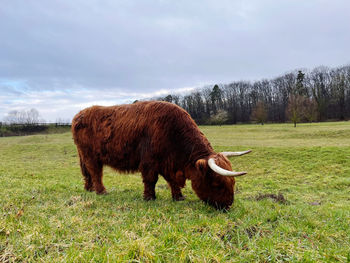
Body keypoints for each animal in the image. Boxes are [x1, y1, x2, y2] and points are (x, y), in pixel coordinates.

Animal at [72, 101, 252, 210]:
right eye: (216, 183)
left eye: (232, 182)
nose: (227, 205)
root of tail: (80, 114)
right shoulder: (150, 161)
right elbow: (151, 179)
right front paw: (149, 197)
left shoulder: (168, 162)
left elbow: (172, 181)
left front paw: (179, 197)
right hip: (90, 155)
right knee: (96, 172)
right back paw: (101, 191)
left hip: (84, 155)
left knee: (87, 173)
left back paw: (89, 189)